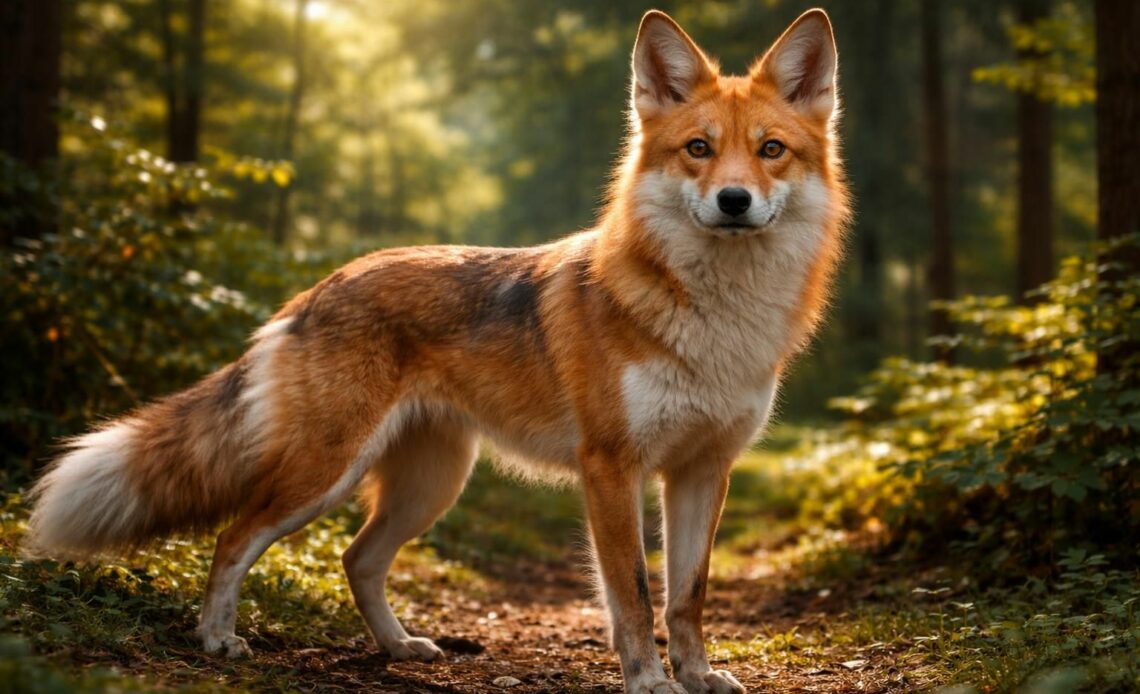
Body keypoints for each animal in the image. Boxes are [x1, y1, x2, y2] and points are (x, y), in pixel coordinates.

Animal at [25, 9, 847, 694]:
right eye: (698, 150)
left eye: (771, 151)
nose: (734, 201)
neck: (716, 326)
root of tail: (316, 288)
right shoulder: (612, 469)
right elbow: (635, 597)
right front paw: (649, 682)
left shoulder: (703, 470)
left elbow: (689, 596)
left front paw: (698, 677)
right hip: (326, 474)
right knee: (232, 538)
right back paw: (218, 643)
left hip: (431, 485)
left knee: (357, 559)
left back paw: (398, 649)